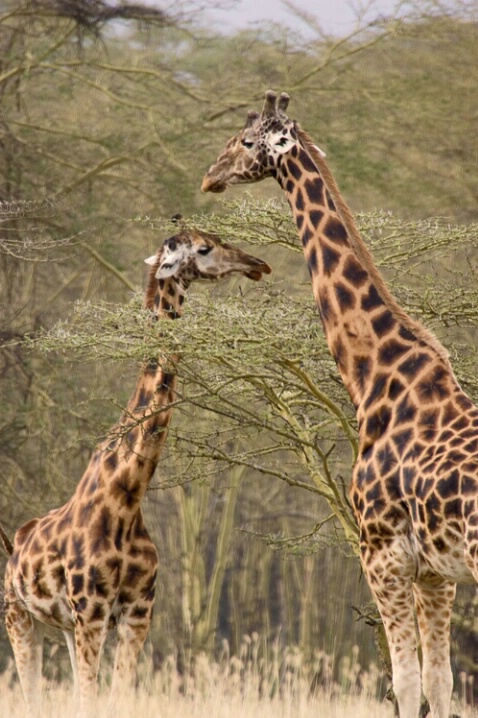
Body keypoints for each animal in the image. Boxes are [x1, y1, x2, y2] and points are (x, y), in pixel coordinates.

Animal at [0, 226, 270, 718]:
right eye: (204, 248)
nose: (257, 263)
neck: (126, 494)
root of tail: (13, 546)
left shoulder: (138, 612)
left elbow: (117, 696)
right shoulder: (92, 611)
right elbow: (91, 701)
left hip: (63, 626)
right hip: (19, 615)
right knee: (31, 695)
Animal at [201, 93, 478, 718]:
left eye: (247, 141)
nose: (210, 175)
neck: (375, 377)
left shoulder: (383, 554)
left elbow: (406, 683)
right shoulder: (437, 570)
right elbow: (440, 682)